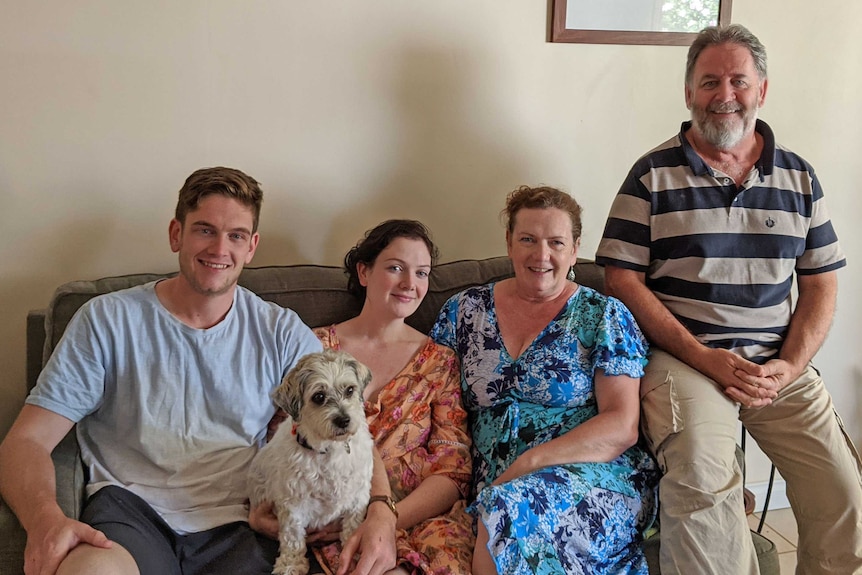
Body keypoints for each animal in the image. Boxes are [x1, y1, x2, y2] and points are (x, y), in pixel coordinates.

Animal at [246, 348, 374, 575]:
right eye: (319, 397)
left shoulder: (358, 497)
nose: (343, 420)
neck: (330, 450)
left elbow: (352, 527)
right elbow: (292, 537)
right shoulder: (292, 504)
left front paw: (353, 553)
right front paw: (290, 565)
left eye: (350, 390)